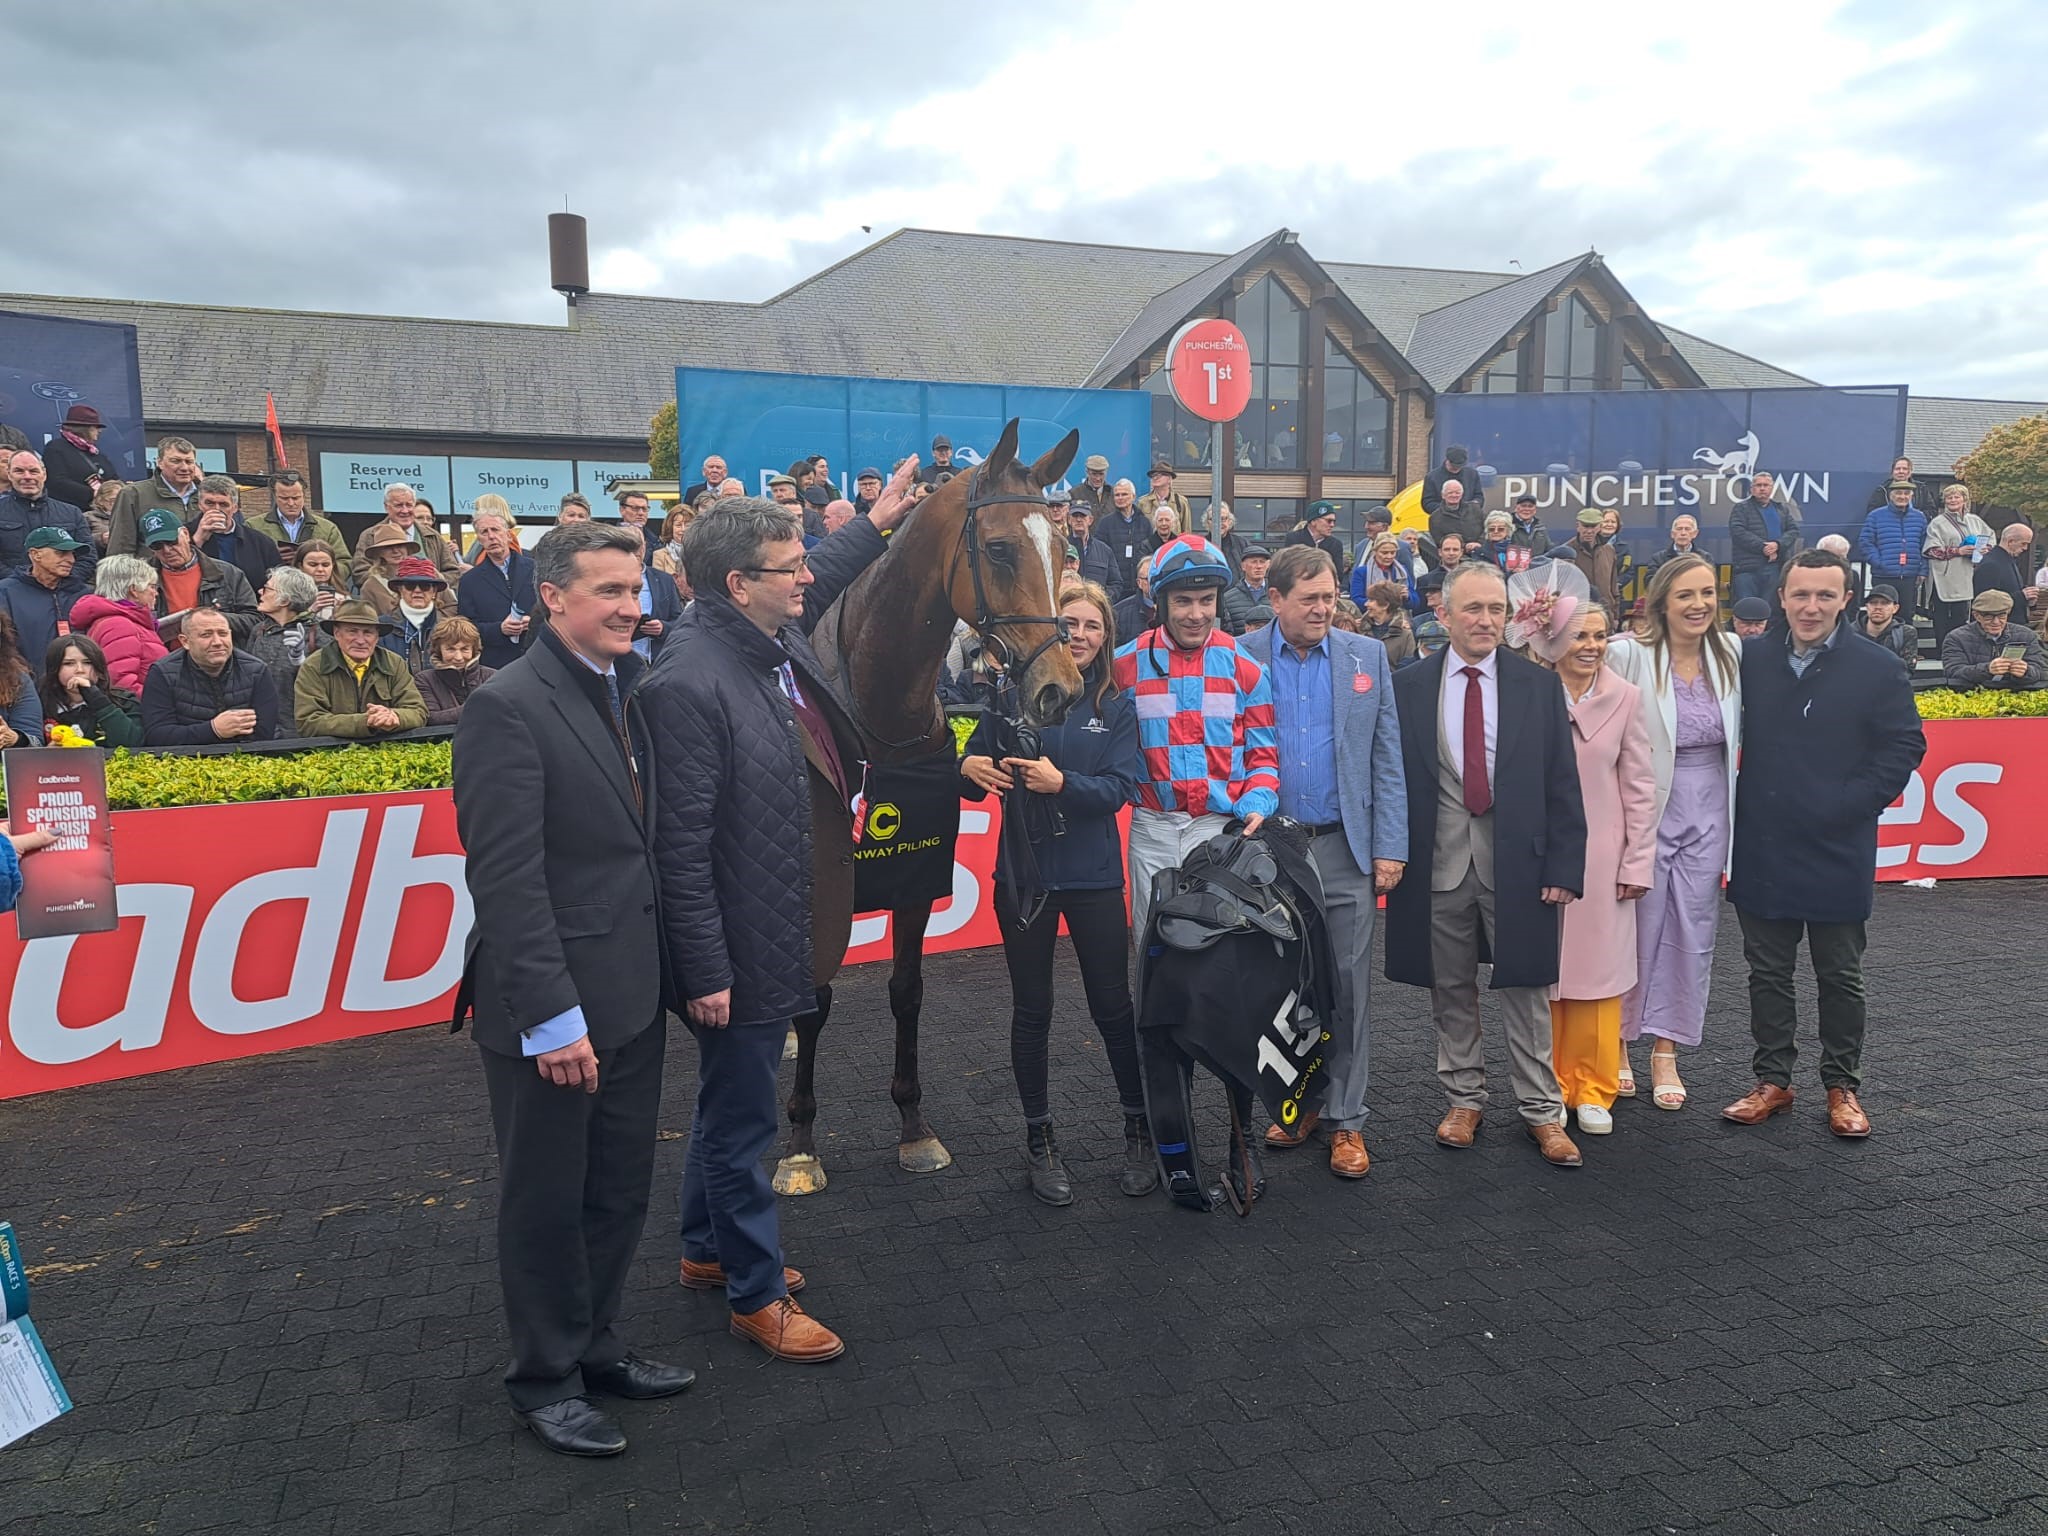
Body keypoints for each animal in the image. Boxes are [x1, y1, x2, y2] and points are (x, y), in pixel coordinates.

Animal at [770, 421, 1089, 1204]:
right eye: (999, 548)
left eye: (1062, 549)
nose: (1059, 689)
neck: (877, 712)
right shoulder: (826, 886)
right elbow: (816, 1001)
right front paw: (800, 1144)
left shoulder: (916, 880)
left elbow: (907, 992)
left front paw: (914, 1128)